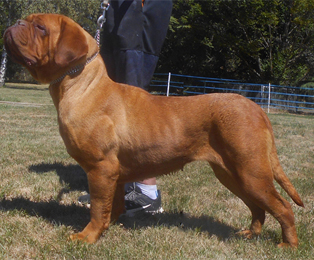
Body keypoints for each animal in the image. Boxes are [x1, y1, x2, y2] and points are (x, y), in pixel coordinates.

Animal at [4, 13, 304, 248]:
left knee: (283, 207)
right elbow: (112, 205)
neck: (82, 85)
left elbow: (98, 208)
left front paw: (87, 237)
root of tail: (256, 108)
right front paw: (108, 227)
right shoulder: (114, 173)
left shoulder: (101, 168)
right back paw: (249, 234)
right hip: (233, 173)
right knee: (258, 208)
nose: (15, 22)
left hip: (251, 172)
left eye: (40, 27)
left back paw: (288, 245)